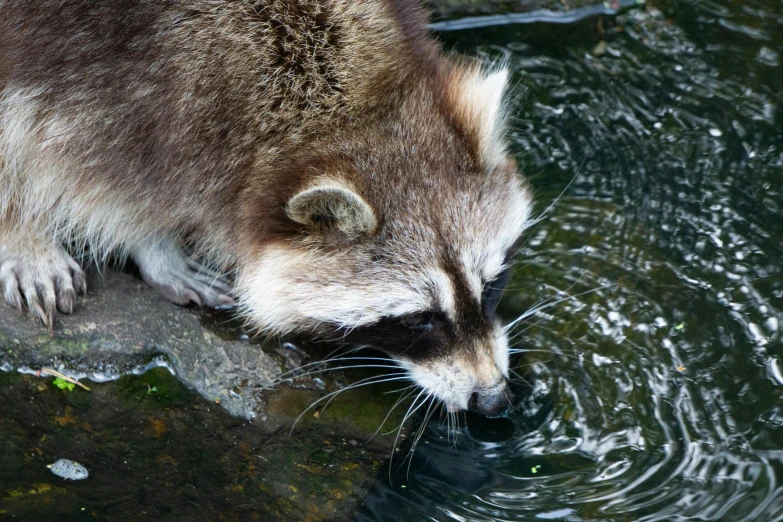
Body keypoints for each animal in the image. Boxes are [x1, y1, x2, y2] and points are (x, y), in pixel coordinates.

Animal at [0, 0, 532, 414]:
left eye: (492, 285)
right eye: (417, 319)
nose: (493, 400)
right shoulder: (126, 70)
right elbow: (108, 178)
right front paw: (154, 247)